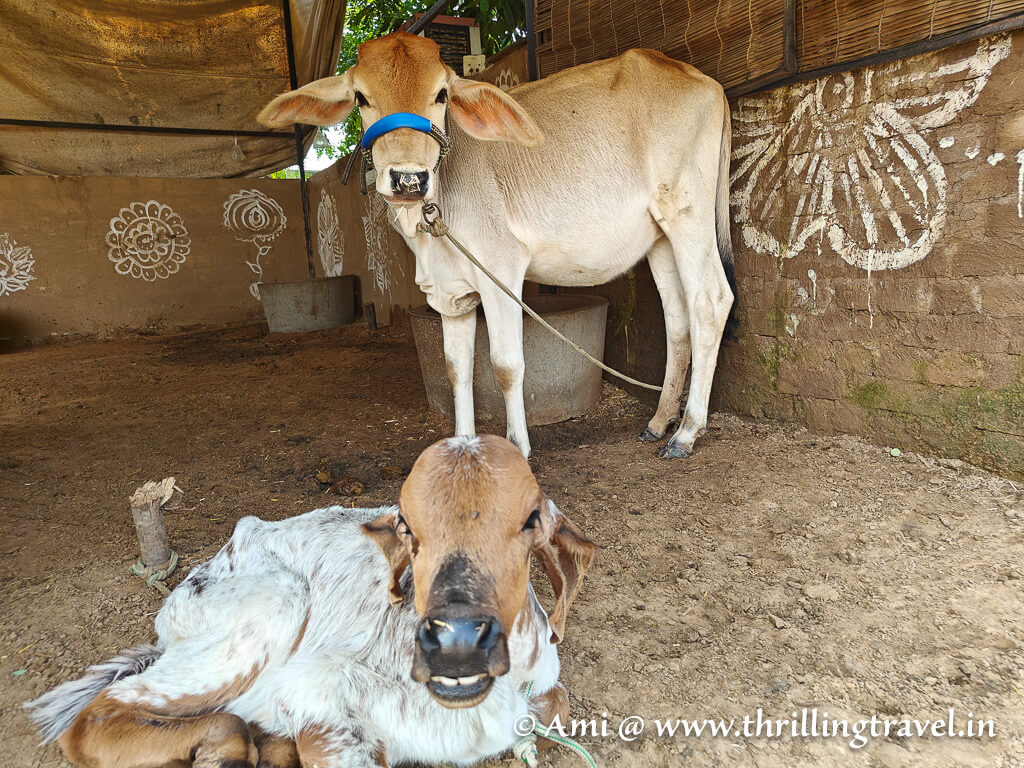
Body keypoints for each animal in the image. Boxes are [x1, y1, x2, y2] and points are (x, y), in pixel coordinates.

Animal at [26, 435, 596, 768]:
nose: (456, 637)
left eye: (529, 521)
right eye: (407, 527)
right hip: (272, 605)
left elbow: (559, 705)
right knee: (98, 717)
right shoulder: (321, 696)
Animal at [259, 32, 737, 460]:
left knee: (711, 301)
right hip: (660, 238)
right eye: (360, 97)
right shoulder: (449, 294)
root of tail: (706, 81)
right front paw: (462, 446)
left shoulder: (501, 271)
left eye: (442, 94)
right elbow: (456, 369)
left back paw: (687, 432)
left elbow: (506, 366)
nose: (409, 178)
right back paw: (660, 421)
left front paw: (519, 447)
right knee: (678, 319)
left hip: (688, 214)